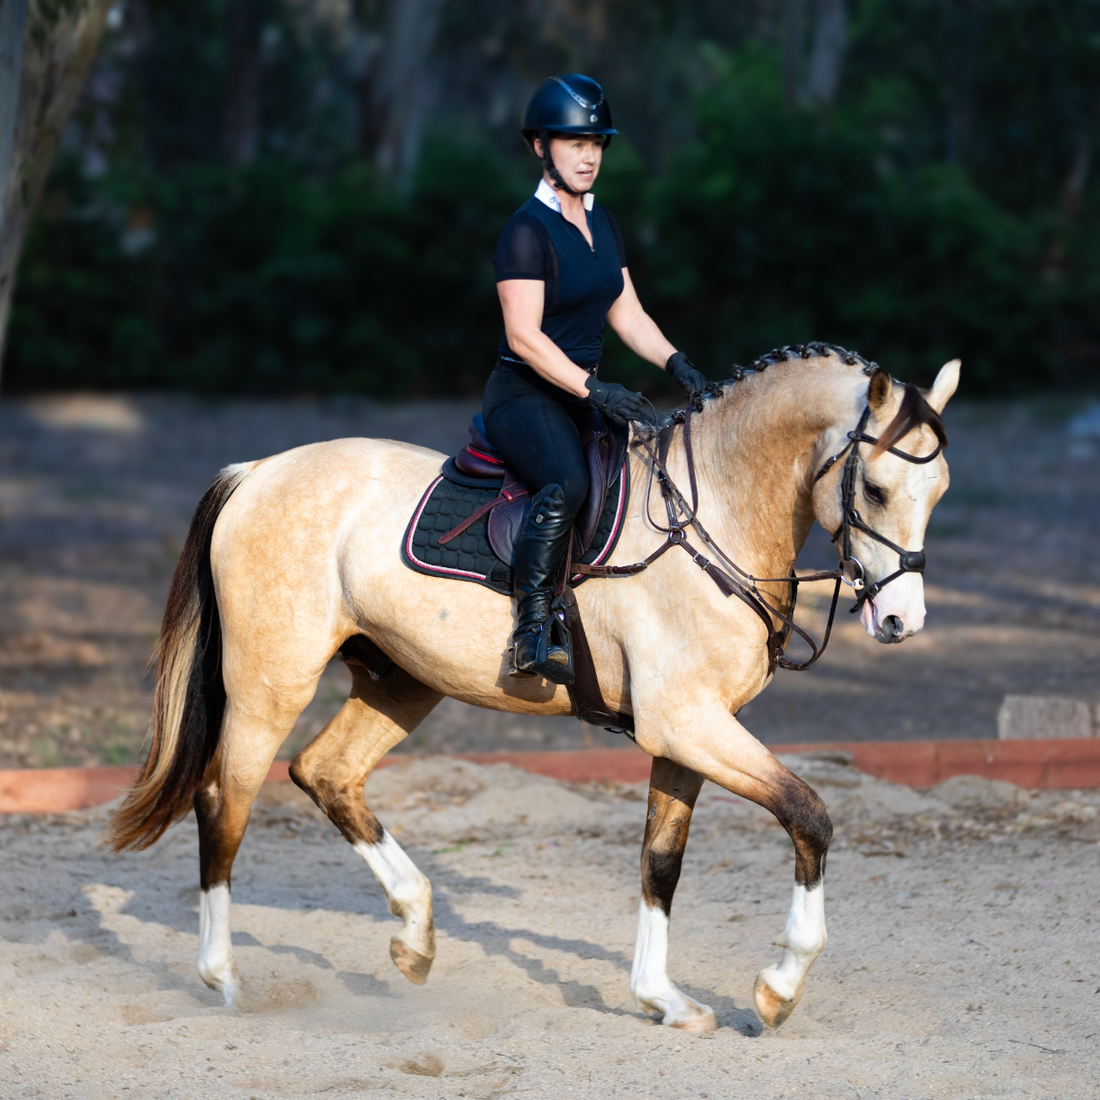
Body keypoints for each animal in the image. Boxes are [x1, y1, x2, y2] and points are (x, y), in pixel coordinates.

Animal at [106, 345, 959, 1034]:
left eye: (940, 492)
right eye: (875, 490)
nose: (901, 619)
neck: (713, 511)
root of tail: (258, 472)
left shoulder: (688, 731)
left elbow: (661, 861)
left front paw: (661, 998)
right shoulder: (688, 724)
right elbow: (809, 815)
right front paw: (779, 987)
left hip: (402, 682)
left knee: (326, 773)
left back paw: (414, 935)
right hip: (269, 684)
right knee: (225, 801)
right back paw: (224, 977)